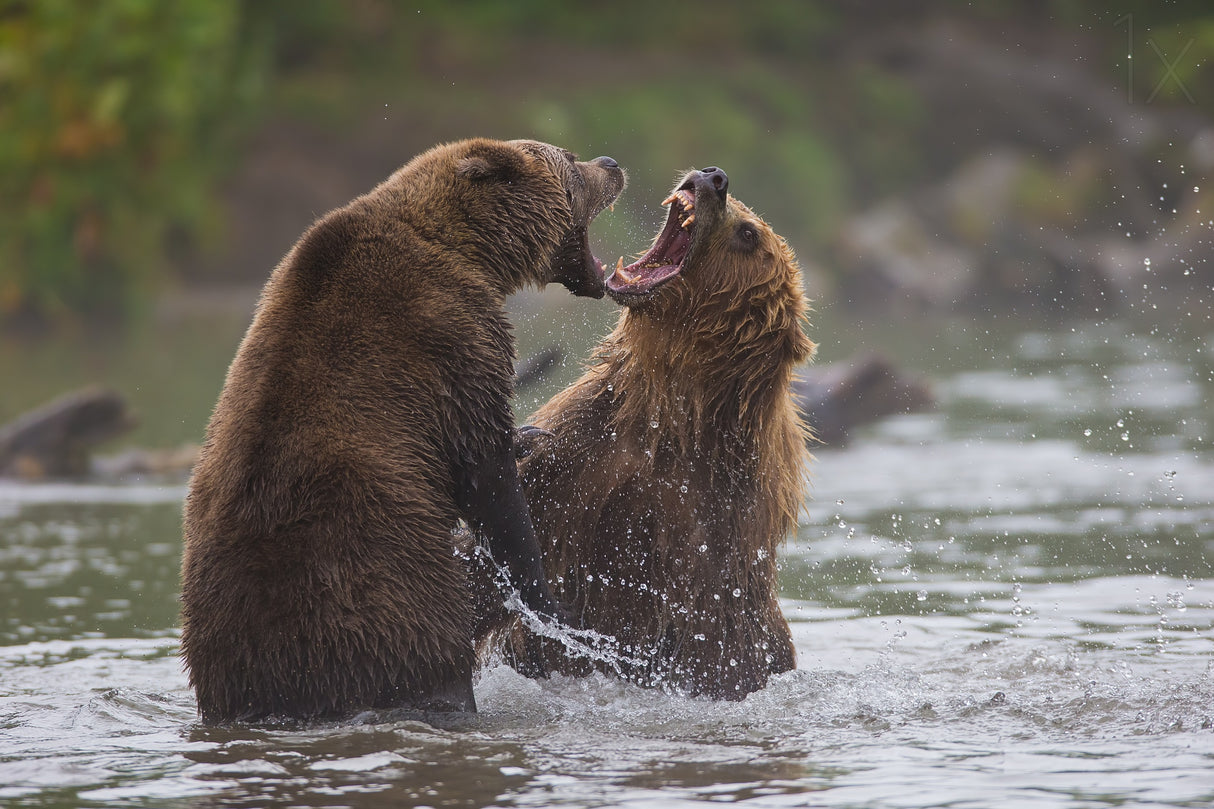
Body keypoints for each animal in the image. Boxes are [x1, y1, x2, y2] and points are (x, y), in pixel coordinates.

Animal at [179, 137, 626, 719]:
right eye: (570, 161)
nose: (612, 165)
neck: (469, 251)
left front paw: (531, 437)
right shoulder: (452, 339)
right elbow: (486, 476)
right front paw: (551, 604)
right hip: (388, 592)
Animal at [485, 166, 815, 694]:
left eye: (749, 233)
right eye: (747, 216)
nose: (715, 177)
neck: (673, 416)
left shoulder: (718, 522)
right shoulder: (583, 441)